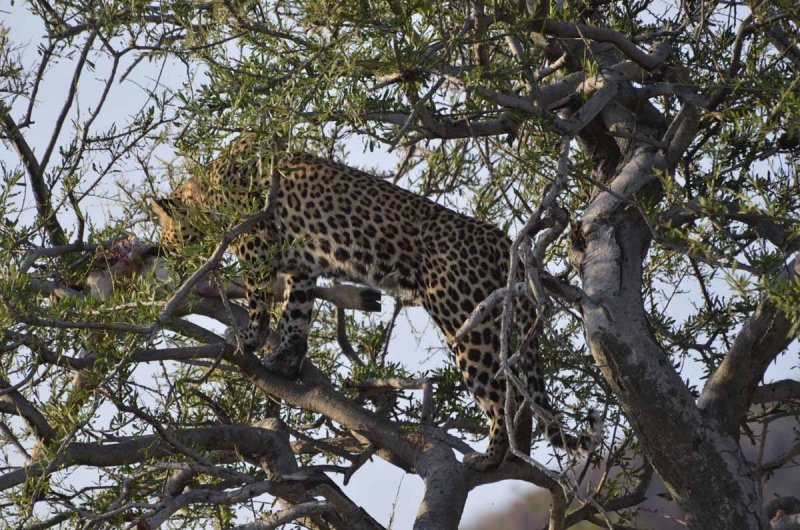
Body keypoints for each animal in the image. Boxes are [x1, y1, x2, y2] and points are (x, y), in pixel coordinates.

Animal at [148, 134, 600, 468]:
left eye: (169, 237)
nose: (167, 258)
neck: (205, 191)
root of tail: (504, 242)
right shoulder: (301, 265)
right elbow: (297, 310)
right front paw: (287, 359)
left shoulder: (256, 242)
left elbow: (263, 300)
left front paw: (250, 338)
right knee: (520, 397)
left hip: (465, 321)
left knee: (502, 395)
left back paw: (490, 456)